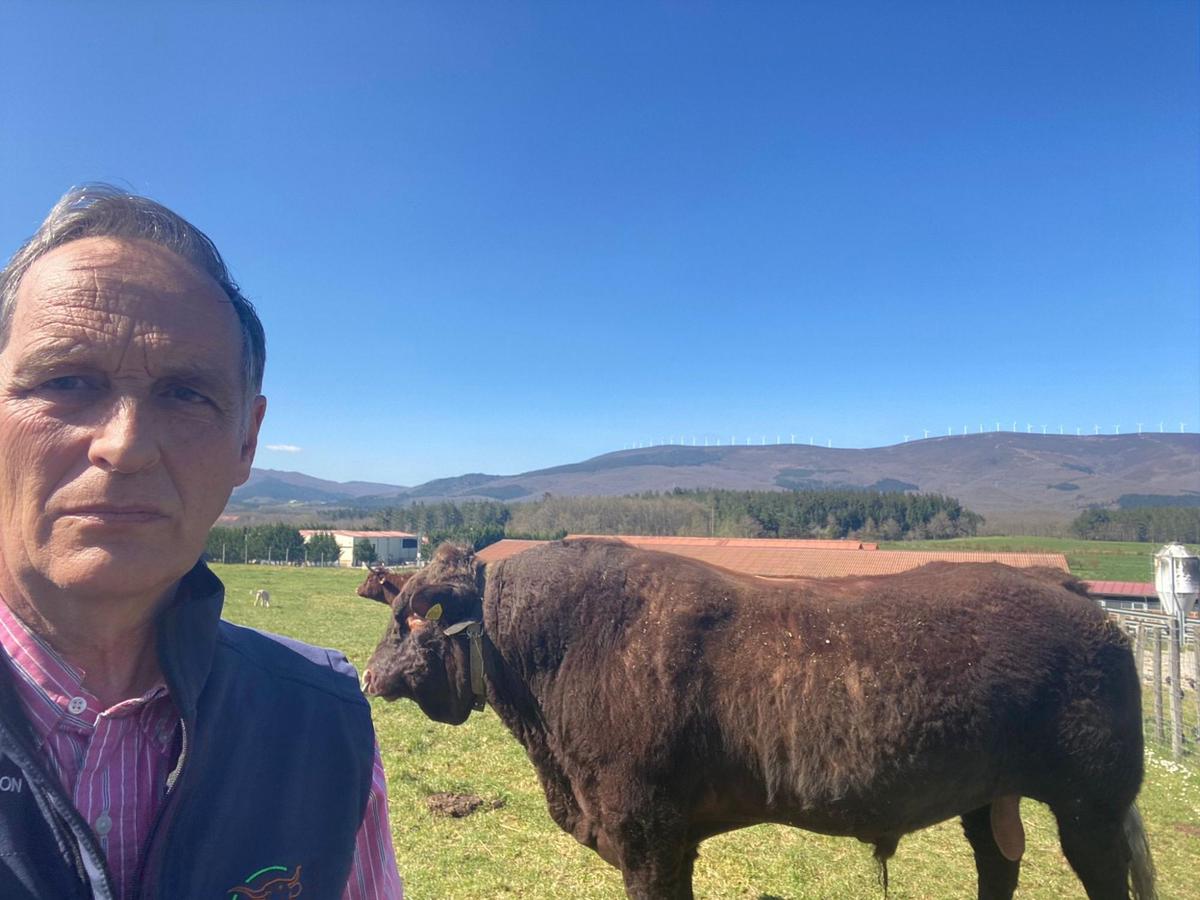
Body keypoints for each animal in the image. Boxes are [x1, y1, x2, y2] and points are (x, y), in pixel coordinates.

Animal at [362, 540, 1152, 897]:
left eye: (406, 621)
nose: (368, 675)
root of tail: (1070, 591)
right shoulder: (675, 836)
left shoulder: (644, 828)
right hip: (991, 800)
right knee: (998, 865)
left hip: (1093, 806)